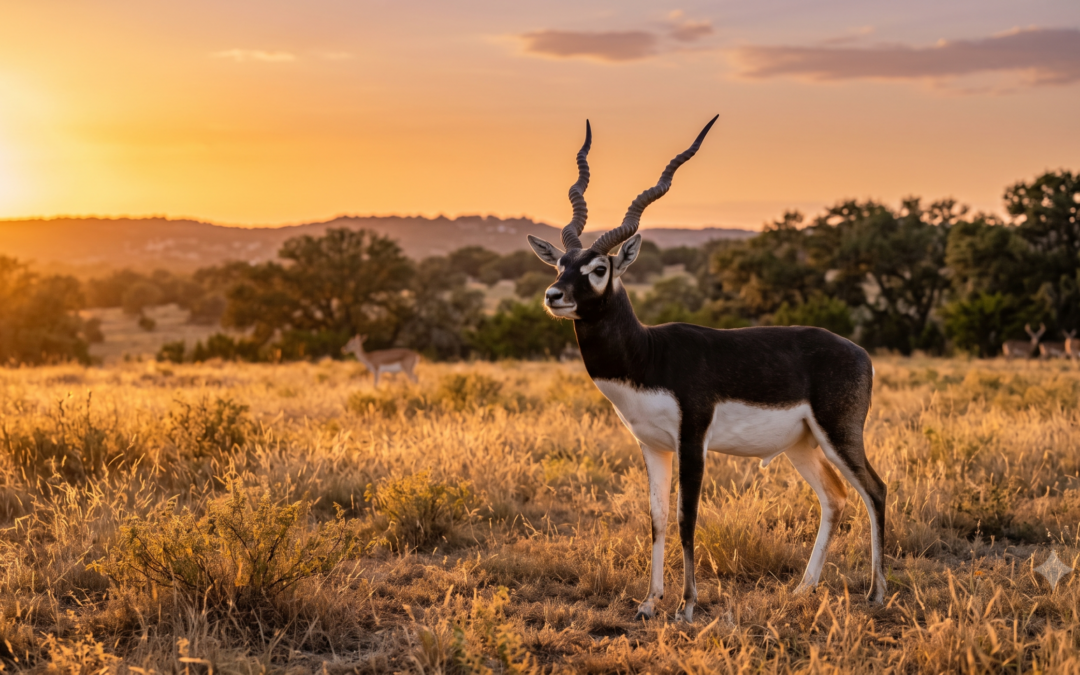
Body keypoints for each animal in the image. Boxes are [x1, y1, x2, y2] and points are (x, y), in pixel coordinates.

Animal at [527, 118, 886, 622]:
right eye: (560, 262)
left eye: (599, 267)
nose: (553, 295)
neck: (649, 355)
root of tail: (860, 352)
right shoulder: (652, 445)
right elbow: (657, 518)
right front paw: (648, 603)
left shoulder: (692, 439)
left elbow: (686, 517)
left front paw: (687, 605)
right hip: (802, 445)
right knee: (835, 497)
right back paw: (802, 590)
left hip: (840, 433)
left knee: (876, 491)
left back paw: (876, 593)